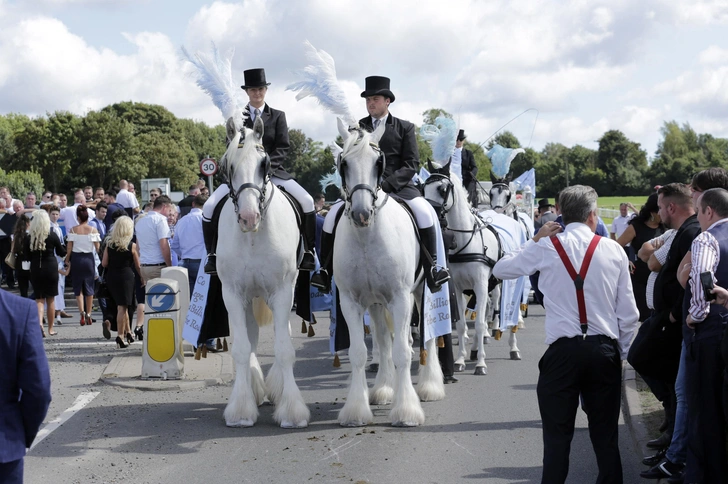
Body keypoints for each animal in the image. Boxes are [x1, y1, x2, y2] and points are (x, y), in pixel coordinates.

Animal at [215, 116, 308, 428]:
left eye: (264, 163)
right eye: (228, 165)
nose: (248, 217)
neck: (254, 236)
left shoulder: (282, 292)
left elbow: (284, 348)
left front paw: (292, 411)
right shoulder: (232, 294)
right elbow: (242, 349)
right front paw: (241, 410)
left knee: (282, 333)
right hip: (248, 298)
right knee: (253, 338)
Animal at [332, 119, 444, 426]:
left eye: (378, 162)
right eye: (343, 163)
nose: (361, 214)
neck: (366, 237)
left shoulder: (400, 298)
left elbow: (403, 353)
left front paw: (406, 411)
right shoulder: (351, 301)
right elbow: (360, 353)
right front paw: (356, 410)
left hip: (420, 292)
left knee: (426, 337)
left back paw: (430, 387)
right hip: (376, 303)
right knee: (383, 342)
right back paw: (383, 389)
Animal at [420, 166, 500, 374]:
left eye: (442, 189)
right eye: (423, 188)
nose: (431, 213)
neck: (465, 242)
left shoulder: (480, 285)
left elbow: (479, 324)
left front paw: (480, 364)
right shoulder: (457, 287)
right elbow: (462, 325)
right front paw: (460, 360)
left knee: (493, 305)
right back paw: (474, 349)